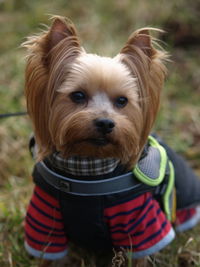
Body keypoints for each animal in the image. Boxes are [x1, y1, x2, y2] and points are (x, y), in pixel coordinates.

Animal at [22, 17, 200, 267]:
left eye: (122, 101)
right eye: (78, 96)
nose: (106, 123)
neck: (88, 169)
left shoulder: (142, 220)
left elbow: (141, 253)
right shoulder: (45, 216)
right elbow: (50, 252)